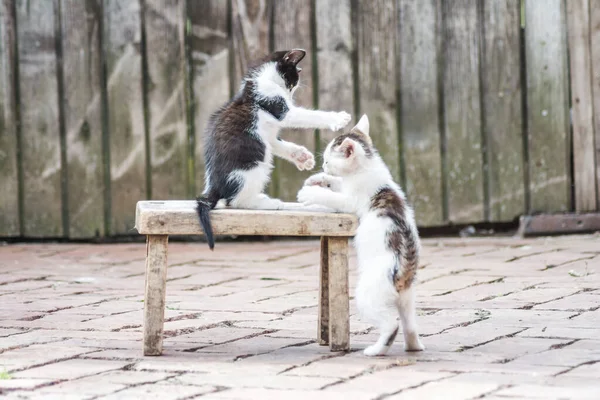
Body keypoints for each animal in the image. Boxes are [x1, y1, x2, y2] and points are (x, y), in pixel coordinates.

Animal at [196, 48, 352, 248]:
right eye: (292, 83)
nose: (291, 95)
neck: (262, 80)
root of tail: (213, 186)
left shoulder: (269, 134)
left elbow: (276, 142)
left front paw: (301, 157)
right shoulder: (275, 104)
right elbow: (306, 115)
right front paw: (337, 118)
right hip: (253, 167)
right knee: (236, 201)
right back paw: (268, 203)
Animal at [298, 115, 424, 356]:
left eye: (328, 160)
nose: (323, 165)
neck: (367, 168)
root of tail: (404, 270)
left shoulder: (350, 201)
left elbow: (333, 196)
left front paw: (309, 192)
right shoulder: (345, 186)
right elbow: (337, 183)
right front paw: (317, 179)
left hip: (368, 295)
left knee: (391, 324)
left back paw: (376, 350)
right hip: (407, 299)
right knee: (410, 326)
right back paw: (413, 347)